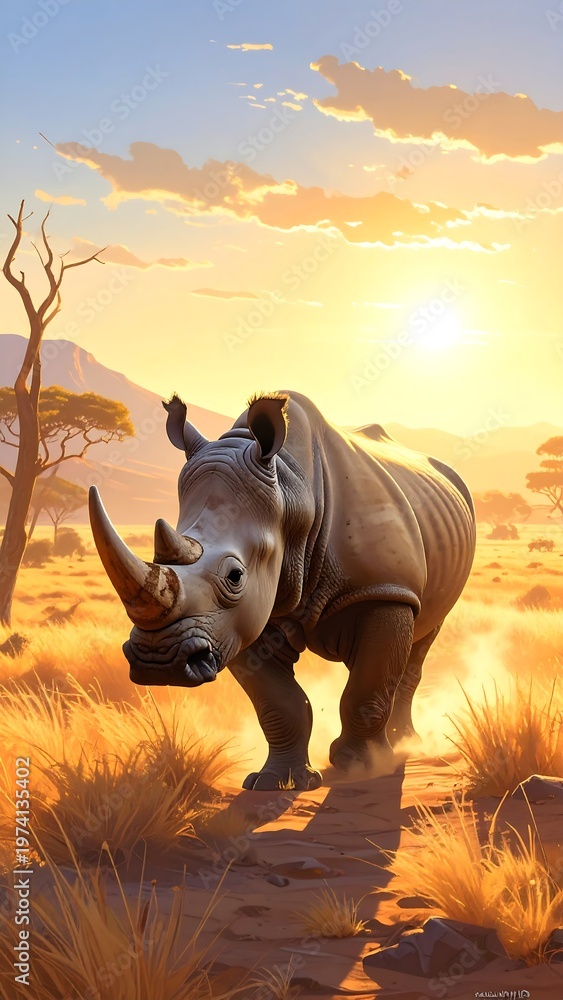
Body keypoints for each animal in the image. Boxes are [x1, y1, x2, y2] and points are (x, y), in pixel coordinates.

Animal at [89, 391, 475, 791]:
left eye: (234, 577)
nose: (158, 662)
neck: (292, 493)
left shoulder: (384, 589)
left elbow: (367, 689)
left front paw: (362, 768)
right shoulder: (240, 620)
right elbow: (277, 703)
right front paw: (275, 781)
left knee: (421, 640)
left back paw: (406, 746)